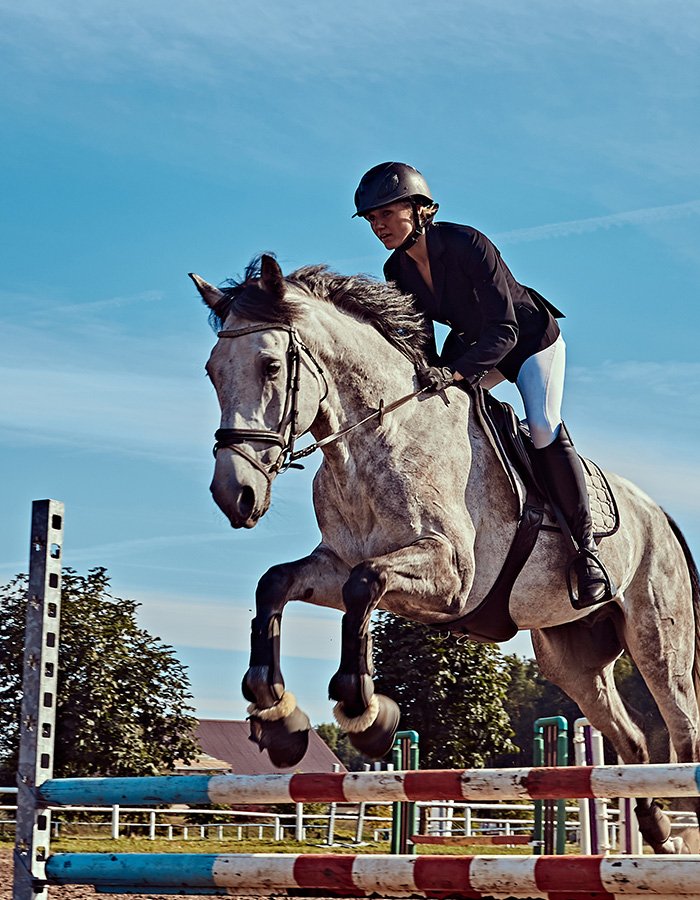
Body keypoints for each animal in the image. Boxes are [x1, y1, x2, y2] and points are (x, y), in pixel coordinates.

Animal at [191, 254, 700, 854]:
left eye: (270, 366)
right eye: (212, 371)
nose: (235, 494)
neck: (376, 438)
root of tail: (659, 513)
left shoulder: (450, 575)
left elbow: (365, 585)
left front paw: (367, 712)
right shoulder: (335, 564)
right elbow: (276, 584)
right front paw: (277, 717)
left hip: (657, 643)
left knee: (682, 730)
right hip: (571, 659)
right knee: (634, 740)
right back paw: (657, 830)